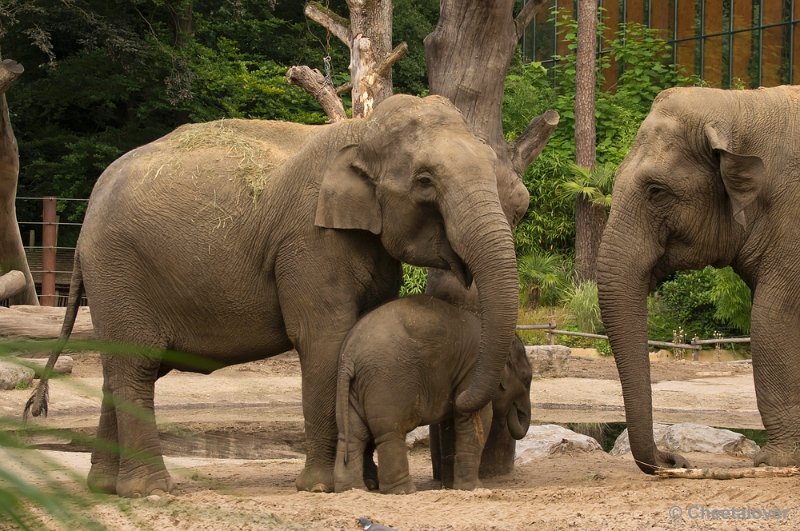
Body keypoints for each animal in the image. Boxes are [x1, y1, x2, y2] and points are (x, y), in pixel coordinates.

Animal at [332, 296, 532, 494]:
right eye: (527, 379)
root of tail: (349, 356)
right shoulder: (472, 369)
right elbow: (477, 419)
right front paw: (473, 488)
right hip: (387, 383)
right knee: (390, 432)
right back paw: (403, 490)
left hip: (352, 388)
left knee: (353, 434)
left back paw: (351, 489)